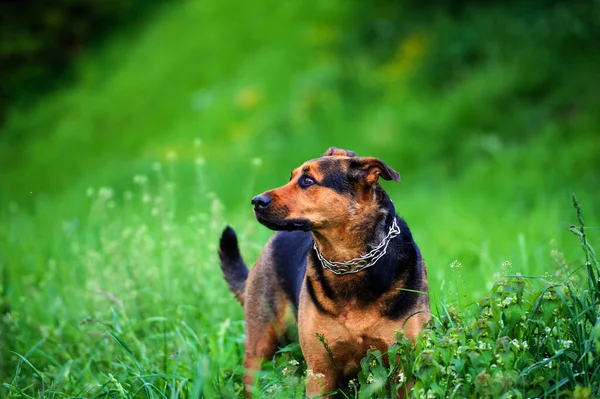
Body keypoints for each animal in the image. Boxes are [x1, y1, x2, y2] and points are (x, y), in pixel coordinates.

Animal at [218, 148, 428, 398]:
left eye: (308, 180)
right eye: (291, 177)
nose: (256, 201)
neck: (349, 261)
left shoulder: (404, 368)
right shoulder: (320, 370)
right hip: (259, 343)